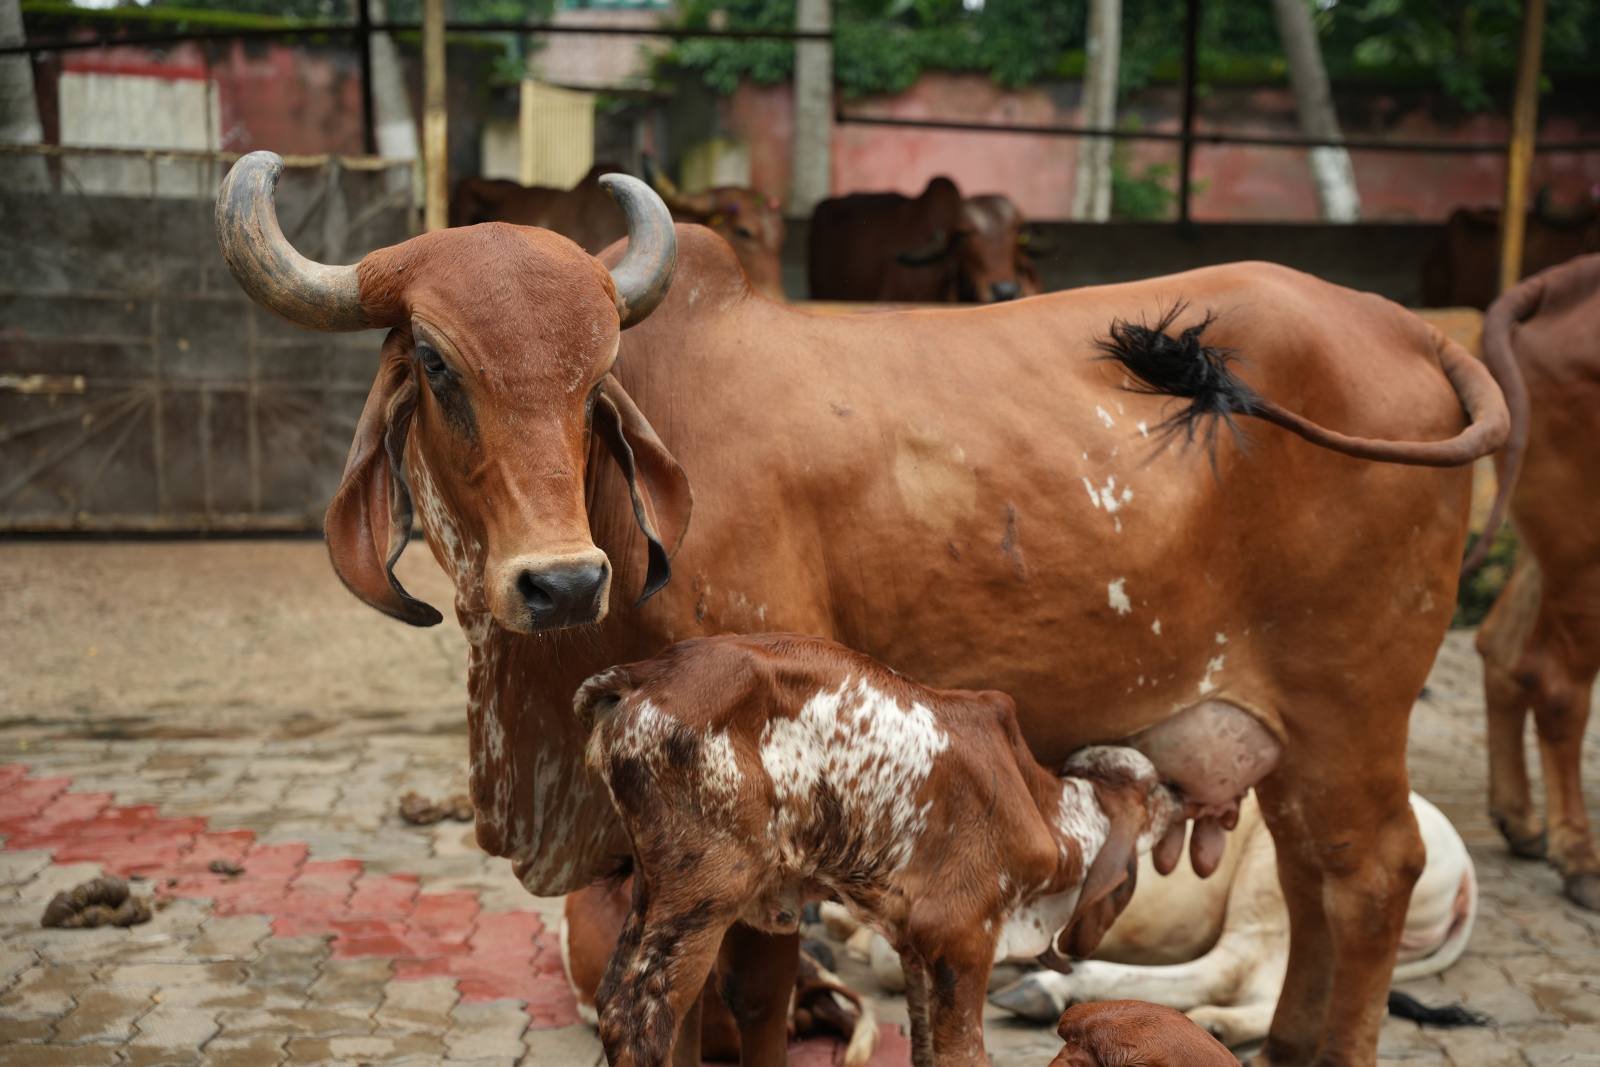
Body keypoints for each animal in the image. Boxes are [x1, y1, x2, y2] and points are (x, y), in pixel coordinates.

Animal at [575, 632, 1202, 1067]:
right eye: (1152, 792)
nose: (1179, 793)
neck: (1048, 813)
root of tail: (638, 675)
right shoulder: (963, 939)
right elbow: (964, 1056)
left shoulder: (915, 948)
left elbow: (922, 1048)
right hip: (705, 890)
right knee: (639, 1017)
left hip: (655, 886)